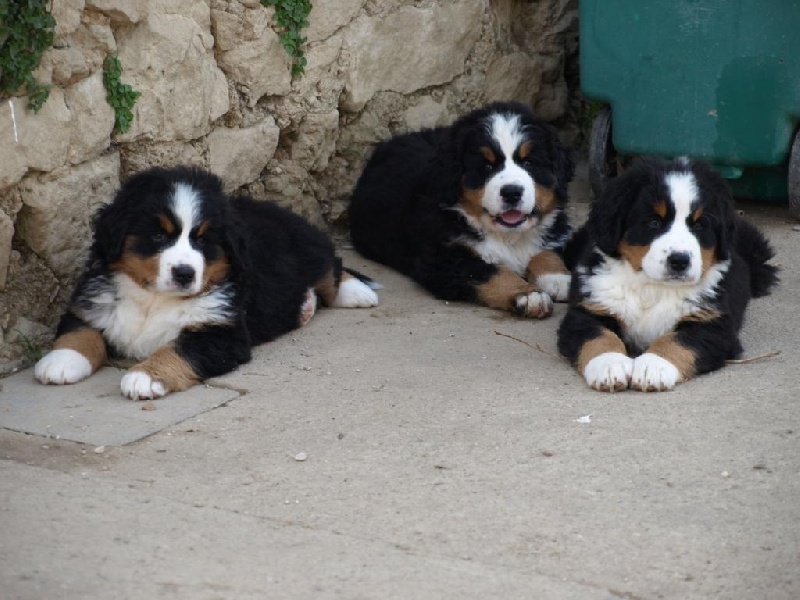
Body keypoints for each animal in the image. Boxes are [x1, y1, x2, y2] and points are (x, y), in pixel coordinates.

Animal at [33, 165, 378, 398]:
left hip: (307, 247)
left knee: (332, 268)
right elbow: (80, 332)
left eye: (202, 240)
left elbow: (178, 349)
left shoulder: (222, 332)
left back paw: (356, 291)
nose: (185, 273)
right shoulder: (90, 303)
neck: (153, 299)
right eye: (158, 236)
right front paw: (61, 361)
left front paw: (145, 376)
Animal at [350, 102, 576, 318]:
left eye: (529, 162)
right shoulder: (444, 260)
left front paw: (557, 278)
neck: (507, 236)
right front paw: (529, 295)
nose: (512, 192)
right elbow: (493, 272)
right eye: (486, 166)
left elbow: (546, 251)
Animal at [560, 157, 780, 392]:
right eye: (654, 222)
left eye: (700, 224)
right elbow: (599, 336)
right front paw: (609, 366)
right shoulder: (589, 310)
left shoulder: (713, 323)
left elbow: (677, 341)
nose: (679, 261)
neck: (652, 288)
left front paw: (653, 367)